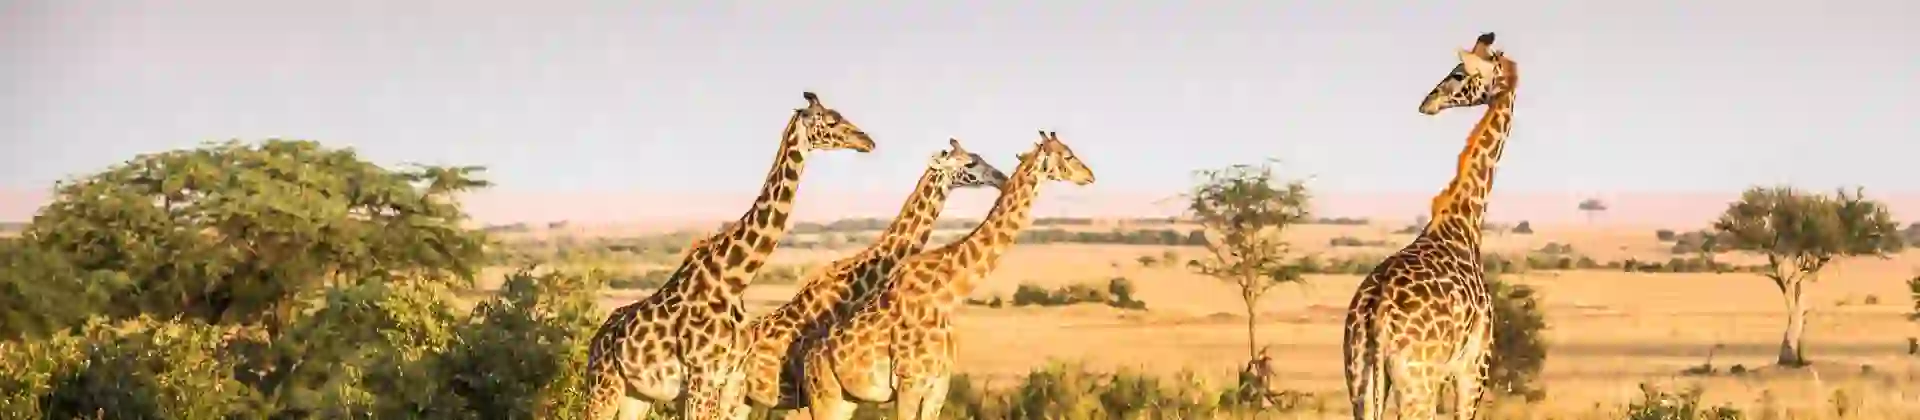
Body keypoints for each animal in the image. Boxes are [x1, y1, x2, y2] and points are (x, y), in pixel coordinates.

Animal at [582, 91, 876, 420]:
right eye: (831, 120)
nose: (867, 141)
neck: (734, 277)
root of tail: (596, 342)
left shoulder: (732, 379)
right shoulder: (702, 377)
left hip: (636, 394)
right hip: (603, 386)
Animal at [802, 130, 1095, 420]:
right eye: (1067, 155)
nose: (1090, 175)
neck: (947, 294)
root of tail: (807, 359)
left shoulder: (939, 385)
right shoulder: (909, 382)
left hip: (847, 399)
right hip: (824, 397)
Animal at [1342, 32, 1520, 420]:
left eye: (1458, 74)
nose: (1428, 103)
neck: (1466, 219)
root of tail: (1375, 316)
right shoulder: (1473, 368)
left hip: (1359, 377)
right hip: (1417, 382)